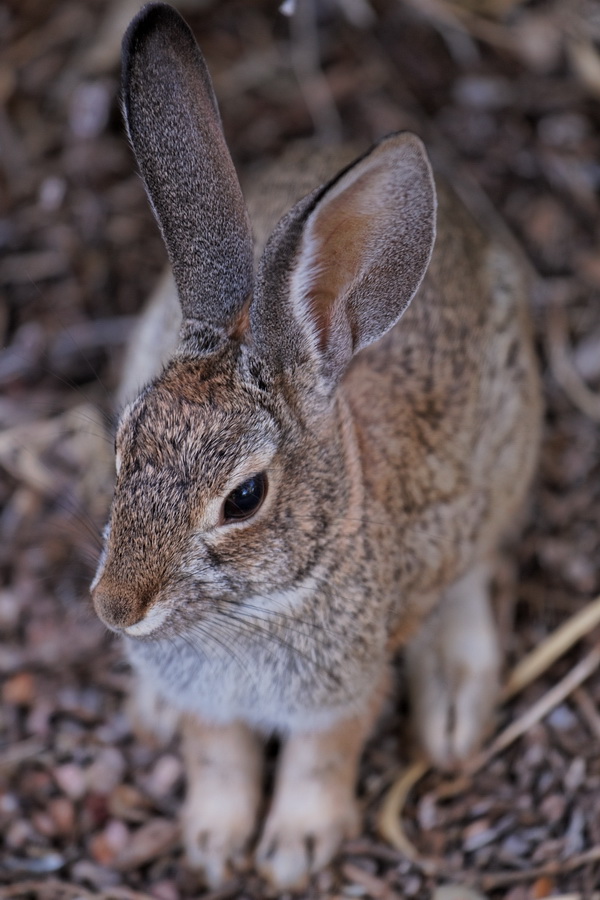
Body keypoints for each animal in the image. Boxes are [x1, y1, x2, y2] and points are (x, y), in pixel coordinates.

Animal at [91, 1, 542, 890]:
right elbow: (217, 758)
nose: (114, 609)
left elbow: (319, 761)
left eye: (244, 498)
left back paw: (452, 706)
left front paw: (293, 851)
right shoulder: (210, 708)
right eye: (124, 446)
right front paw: (214, 844)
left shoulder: (341, 693)